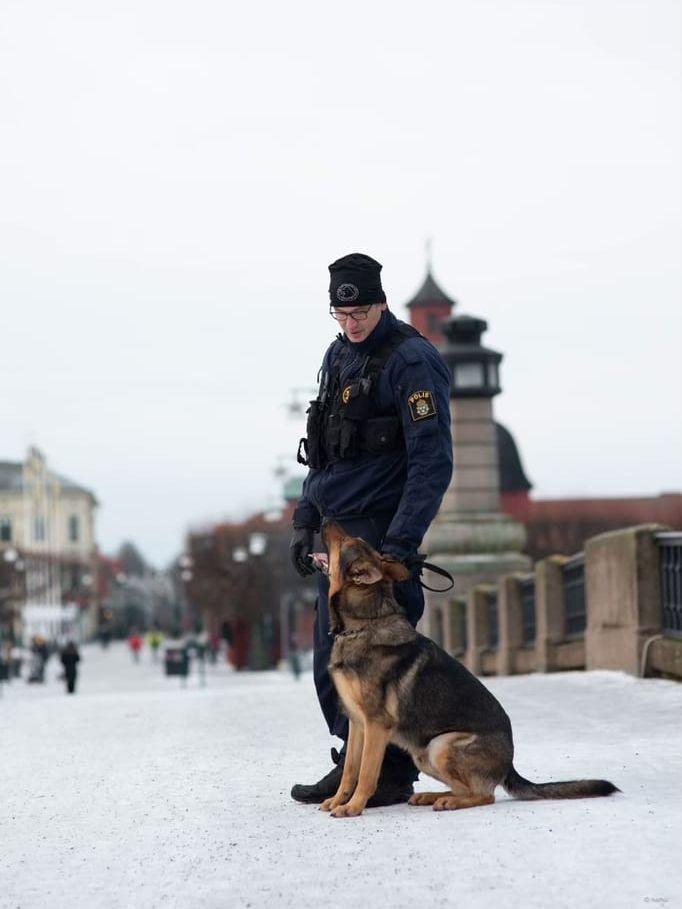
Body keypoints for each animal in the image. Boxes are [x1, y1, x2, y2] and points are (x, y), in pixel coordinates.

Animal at [318, 520, 616, 820]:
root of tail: (509, 764)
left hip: (441, 746)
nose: (325, 519)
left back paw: (448, 801)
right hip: (424, 754)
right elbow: (350, 771)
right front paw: (337, 800)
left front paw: (353, 807)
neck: (364, 623)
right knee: (465, 789)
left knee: (484, 795)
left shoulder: (376, 725)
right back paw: (432, 796)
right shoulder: (358, 724)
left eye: (346, 540)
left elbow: (366, 774)